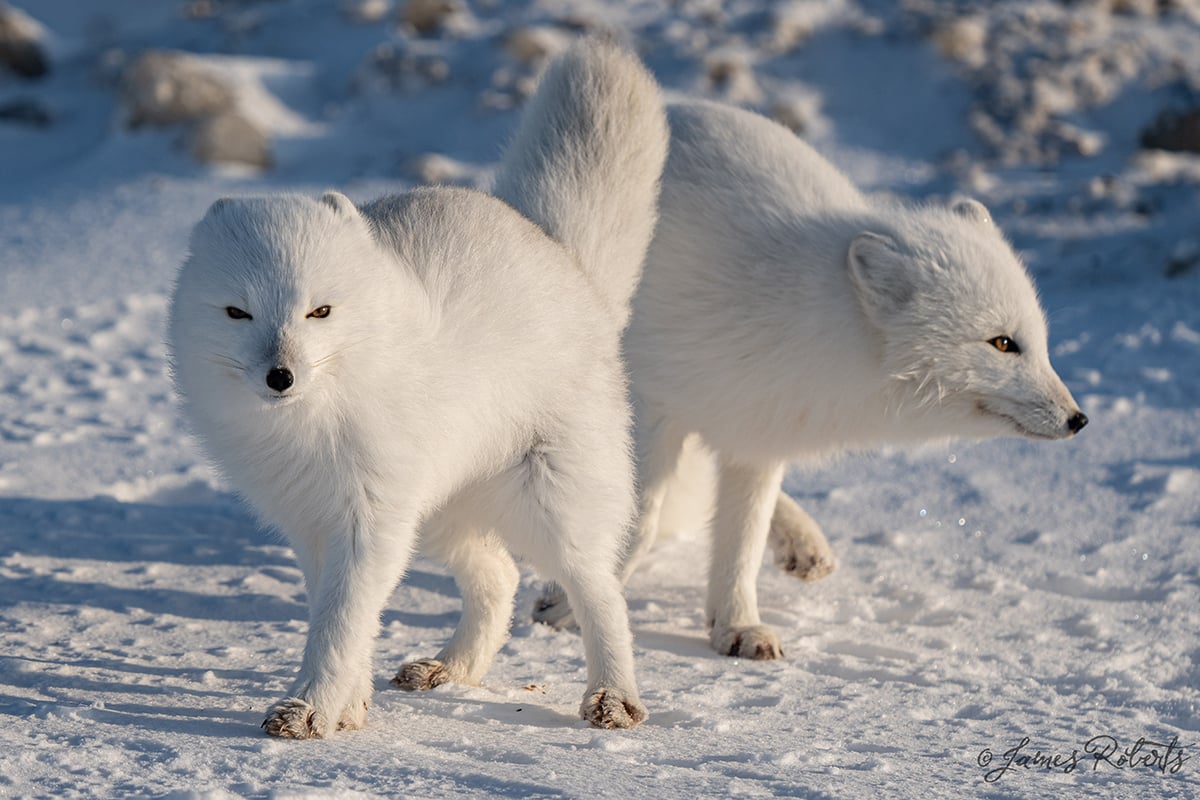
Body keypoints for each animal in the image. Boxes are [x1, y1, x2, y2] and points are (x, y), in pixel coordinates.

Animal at [165, 38, 672, 738]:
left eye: (319, 312)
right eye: (237, 313)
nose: (281, 376)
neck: (313, 423)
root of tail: (558, 251)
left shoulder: (368, 515)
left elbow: (341, 619)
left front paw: (309, 708)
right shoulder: (311, 521)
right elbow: (342, 613)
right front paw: (349, 706)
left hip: (549, 499)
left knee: (598, 589)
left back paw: (613, 696)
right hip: (435, 513)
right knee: (500, 575)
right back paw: (452, 669)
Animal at [535, 98, 1089, 662]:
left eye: (1038, 342)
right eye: (1003, 343)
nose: (1078, 419)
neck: (800, 318)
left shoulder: (757, 435)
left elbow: (742, 540)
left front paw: (737, 624)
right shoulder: (652, 405)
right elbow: (638, 521)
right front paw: (569, 606)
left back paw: (803, 542)